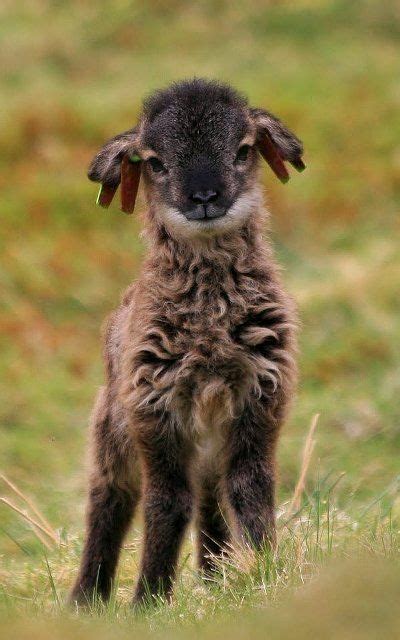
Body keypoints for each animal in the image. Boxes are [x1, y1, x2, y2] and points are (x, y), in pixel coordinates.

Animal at [70, 77, 304, 608]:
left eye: (242, 150)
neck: (210, 333)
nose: (204, 196)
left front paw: (266, 570)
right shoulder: (155, 408)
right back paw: (86, 598)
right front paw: (148, 600)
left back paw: (213, 577)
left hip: (208, 444)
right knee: (109, 499)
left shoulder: (261, 397)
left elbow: (251, 490)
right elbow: (165, 503)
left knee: (211, 499)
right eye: (155, 161)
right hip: (112, 428)